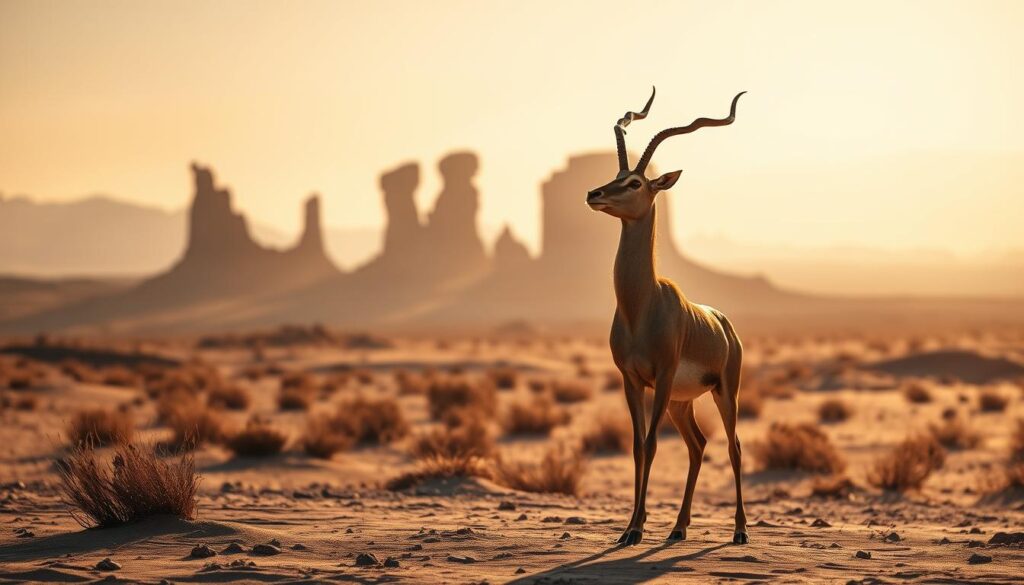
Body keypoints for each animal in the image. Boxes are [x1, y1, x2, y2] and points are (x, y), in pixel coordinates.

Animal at [586, 87, 747, 546]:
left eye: (635, 182)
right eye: (616, 173)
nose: (594, 194)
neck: (641, 307)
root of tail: (724, 325)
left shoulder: (661, 376)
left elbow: (653, 444)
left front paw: (637, 528)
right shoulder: (631, 379)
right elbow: (638, 446)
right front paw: (630, 527)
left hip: (724, 391)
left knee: (733, 446)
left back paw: (740, 531)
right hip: (682, 401)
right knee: (698, 445)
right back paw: (678, 527)